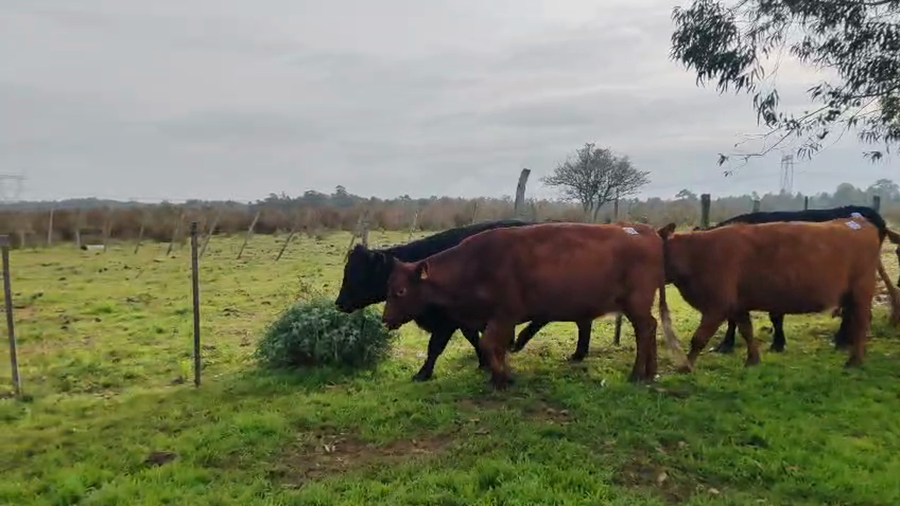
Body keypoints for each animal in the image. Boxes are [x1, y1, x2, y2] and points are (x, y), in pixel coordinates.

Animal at [334, 219, 594, 382]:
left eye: (359, 274)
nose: (339, 303)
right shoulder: (462, 320)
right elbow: (473, 338)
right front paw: (484, 362)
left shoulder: (446, 322)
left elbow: (435, 347)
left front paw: (422, 374)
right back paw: (576, 353)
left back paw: (523, 341)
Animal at [380, 222, 688, 390]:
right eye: (388, 288)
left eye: (400, 290)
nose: (385, 319)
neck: (474, 264)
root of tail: (645, 231)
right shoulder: (495, 321)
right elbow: (494, 347)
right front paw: (500, 375)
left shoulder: (504, 315)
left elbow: (489, 344)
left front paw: (501, 379)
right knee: (648, 328)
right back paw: (649, 372)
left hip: (635, 303)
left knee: (645, 329)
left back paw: (637, 374)